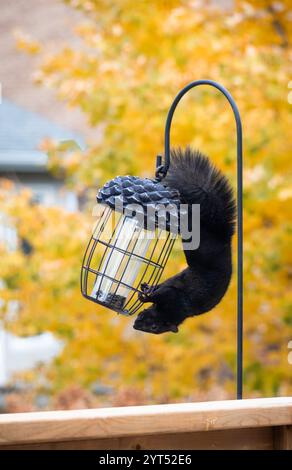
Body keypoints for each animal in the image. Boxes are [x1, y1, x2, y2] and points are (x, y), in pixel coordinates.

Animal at [133, 147, 236, 334]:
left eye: (154, 327)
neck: (176, 314)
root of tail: (222, 237)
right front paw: (146, 290)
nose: (136, 325)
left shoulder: (173, 299)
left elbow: (162, 292)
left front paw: (146, 296)